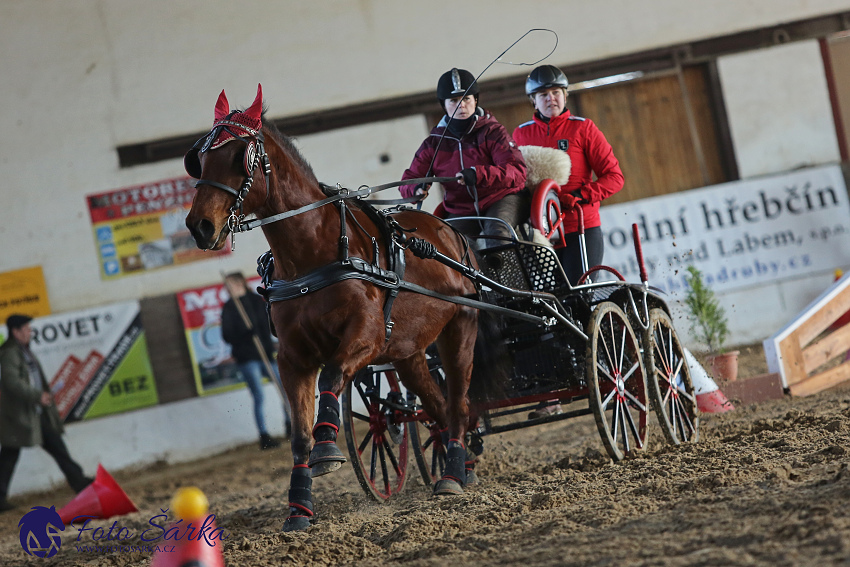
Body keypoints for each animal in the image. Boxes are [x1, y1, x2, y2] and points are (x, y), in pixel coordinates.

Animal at [184, 84, 504, 532]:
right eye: (198, 157)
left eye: (238, 156)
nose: (200, 226)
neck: (312, 255)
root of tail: (453, 233)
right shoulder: (292, 358)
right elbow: (299, 435)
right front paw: (299, 510)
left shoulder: (365, 338)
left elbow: (332, 377)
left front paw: (327, 451)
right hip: (408, 353)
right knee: (436, 406)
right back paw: (460, 464)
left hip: (461, 328)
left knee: (458, 404)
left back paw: (453, 475)